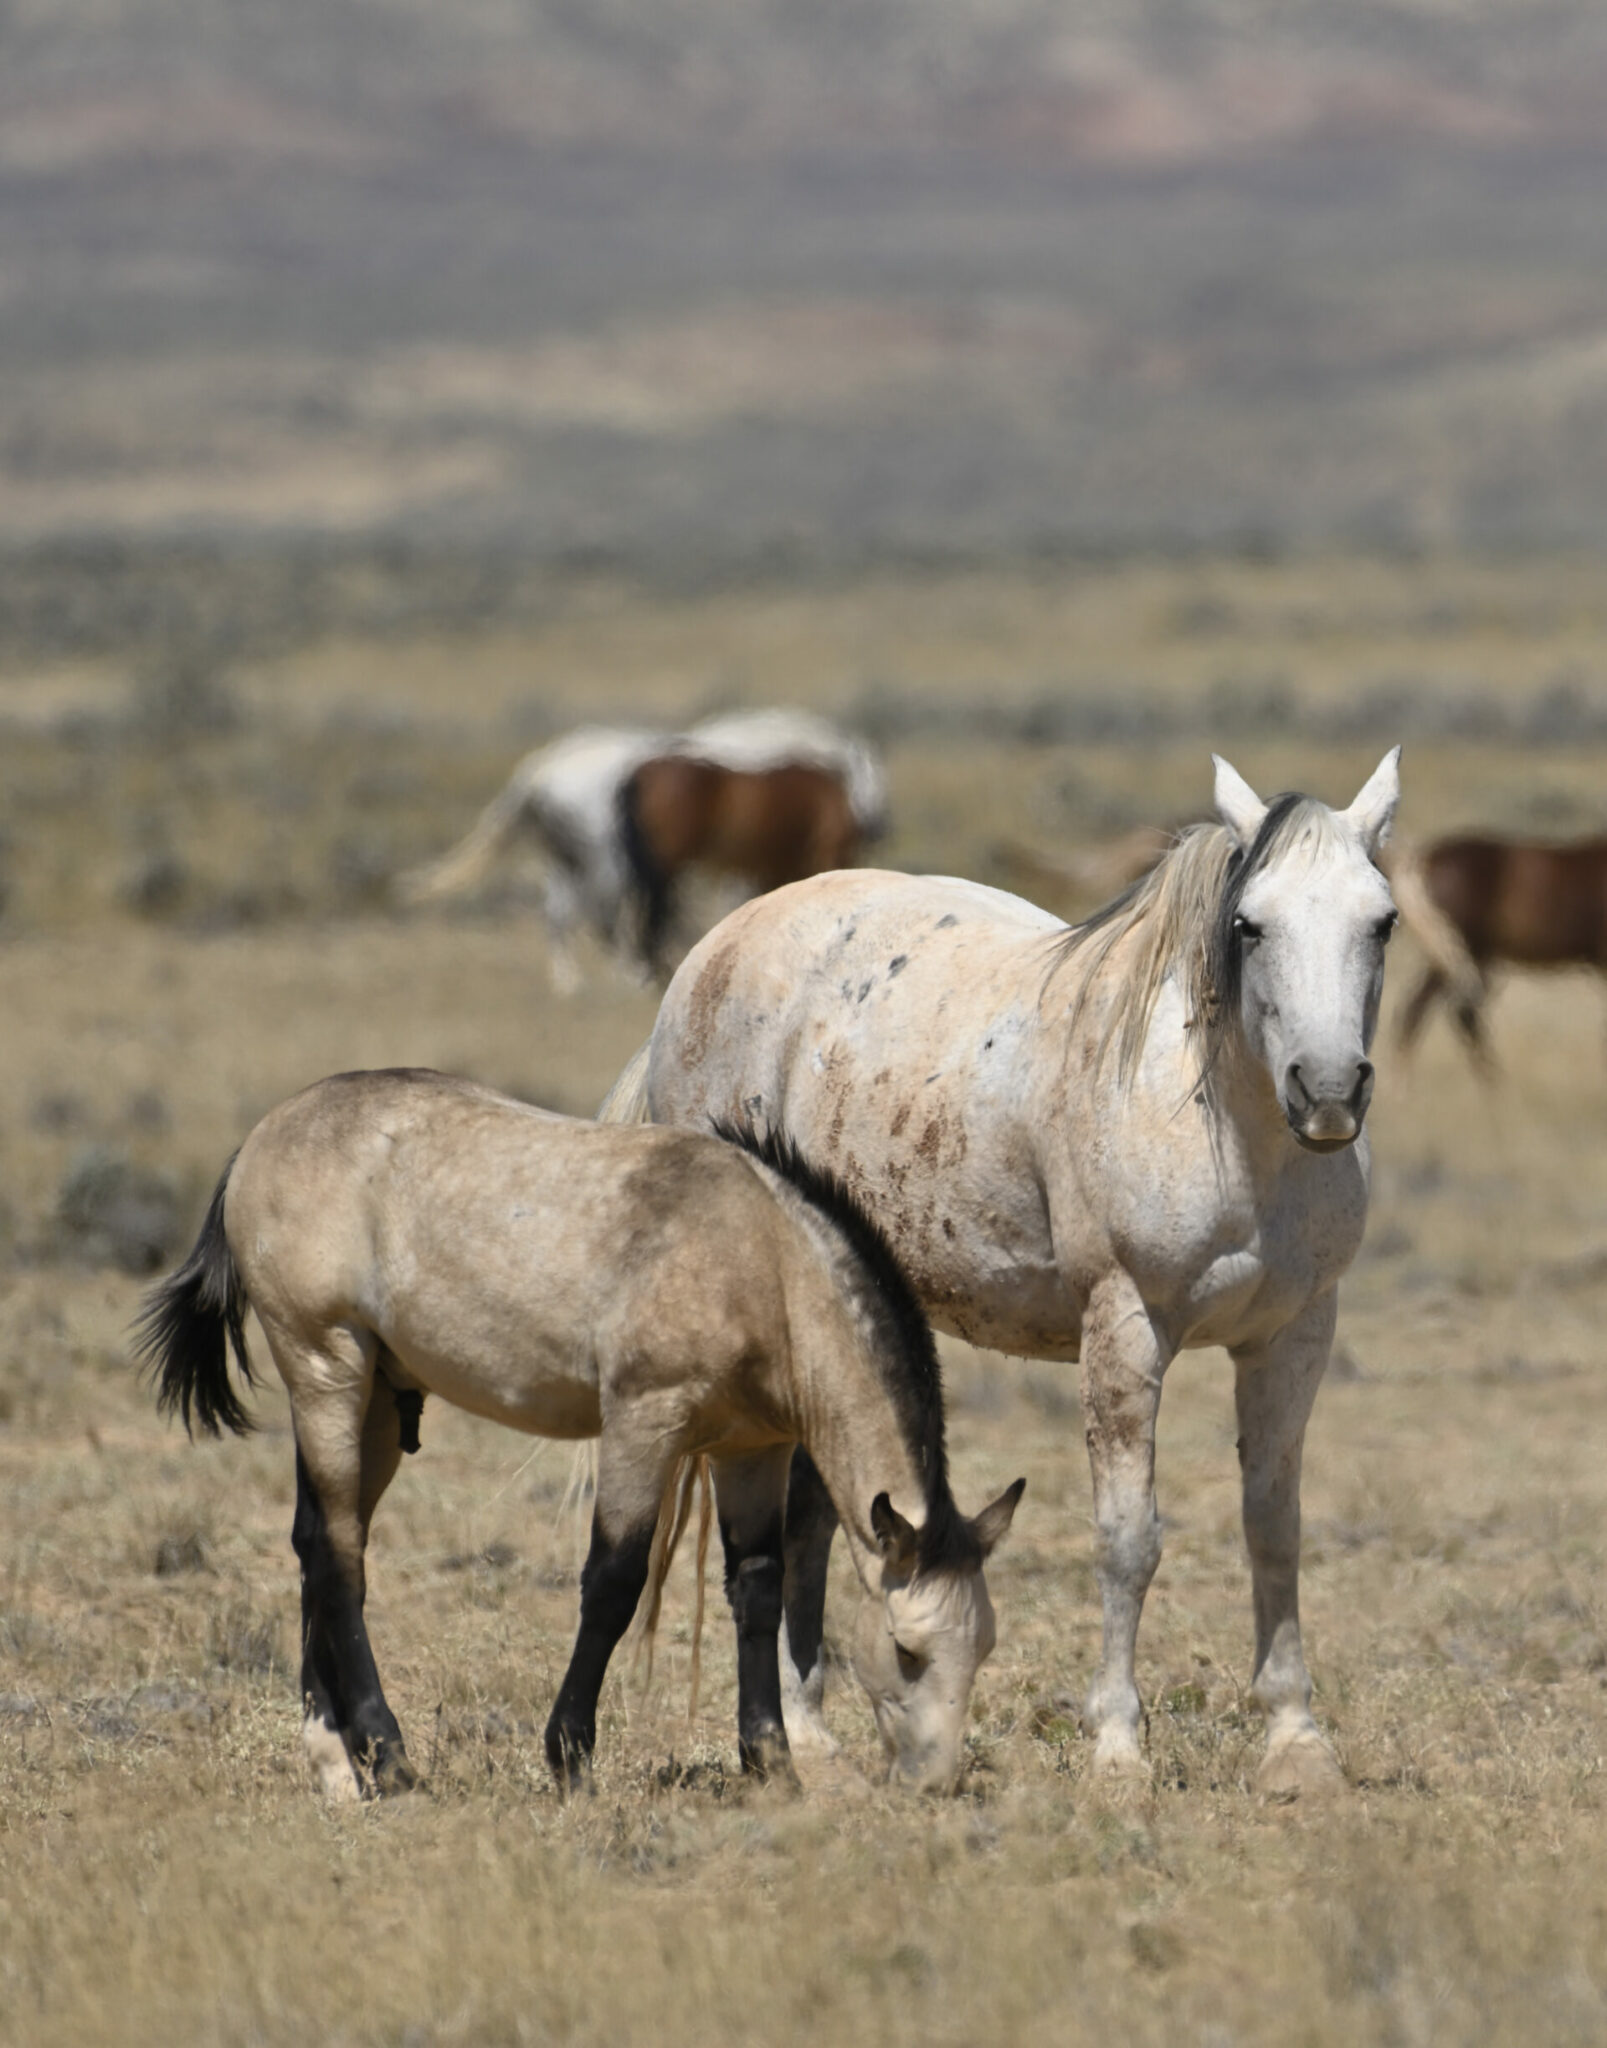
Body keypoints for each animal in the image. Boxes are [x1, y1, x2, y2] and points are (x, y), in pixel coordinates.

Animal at [135, 1081, 1015, 1802]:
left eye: (981, 1650)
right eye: (904, 1649)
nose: (932, 1781)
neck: (760, 1263)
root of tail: (264, 1136)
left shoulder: (750, 1452)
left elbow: (758, 1588)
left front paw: (769, 1763)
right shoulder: (642, 1427)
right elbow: (613, 1583)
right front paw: (570, 1758)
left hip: (377, 1404)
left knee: (315, 1541)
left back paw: (334, 1760)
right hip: (326, 1374)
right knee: (340, 1558)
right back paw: (388, 1758)